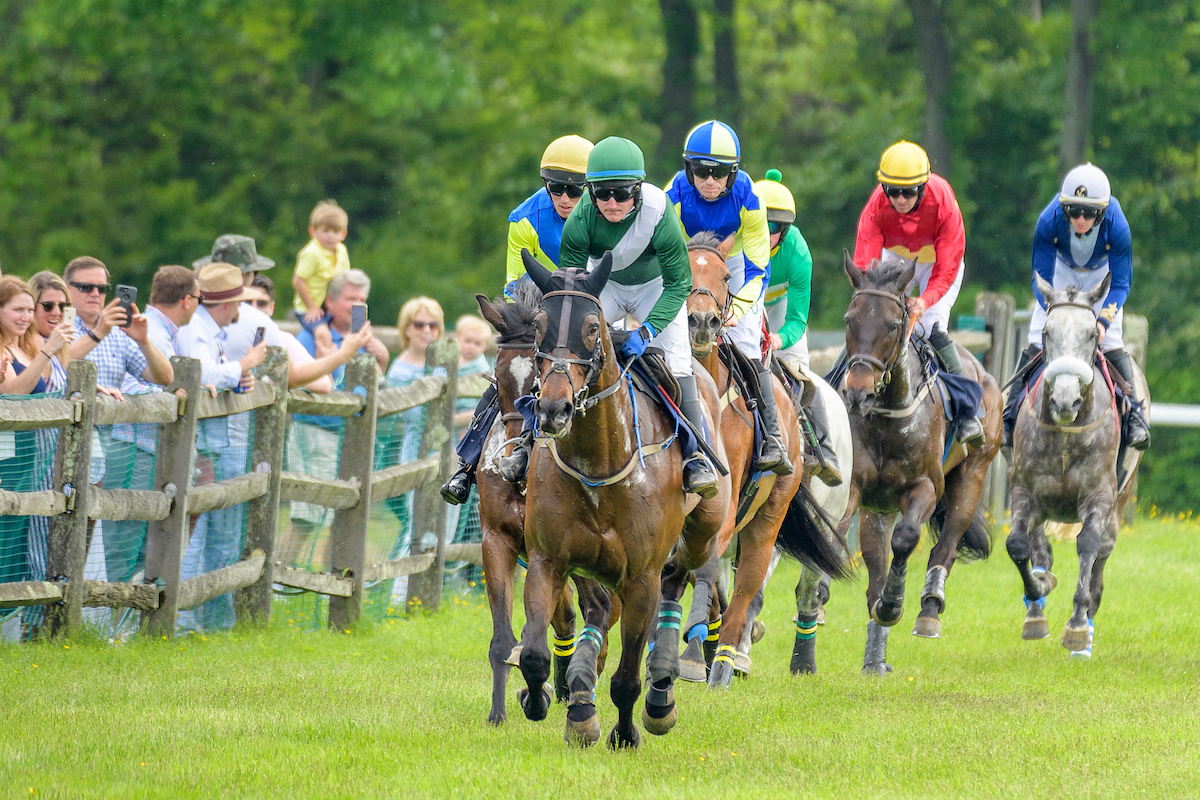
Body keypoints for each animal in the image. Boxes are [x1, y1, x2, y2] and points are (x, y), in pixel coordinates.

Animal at [470, 281, 619, 724]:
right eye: (499, 377)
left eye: (536, 377)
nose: (513, 453)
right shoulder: (501, 542)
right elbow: (504, 638)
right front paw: (498, 714)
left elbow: (594, 610)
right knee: (571, 617)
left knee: (600, 611)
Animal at [516, 251, 729, 753]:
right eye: (538, 326)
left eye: (593, 328)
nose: (553, 409)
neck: (599, 461)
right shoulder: (547, 559)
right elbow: (534, 653)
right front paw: (542, 702)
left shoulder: (640, 576)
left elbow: (628, 677)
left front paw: (627, 732)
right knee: (601, 606)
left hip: (703, 531)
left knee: (679, 578)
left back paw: (663, 691)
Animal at [686, 232, 854, 690]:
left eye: (725, 276)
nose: (702, 322)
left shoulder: (724, 507)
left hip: (775, 512)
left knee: (756, 584)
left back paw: (731, 660)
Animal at [835, 256, 1003, 676]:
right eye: (849, 319)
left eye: (894, 324)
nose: (858, 392)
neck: (888, 417)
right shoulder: (859, 488)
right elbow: (846, 534)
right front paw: (881, 605)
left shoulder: (926, 486)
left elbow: (908, 537)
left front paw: (895, 603)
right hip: (878, 508)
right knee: (876, 557)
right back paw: (875, 648)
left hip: (973, 474)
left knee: (947, 543)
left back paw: (929, 610)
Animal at [1003, 272, 1142, 662]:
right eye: (1047, 332)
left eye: (1092, 334)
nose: (1066, 400)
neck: (1065, 434)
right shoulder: (1025, 492)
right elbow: (1017, 545)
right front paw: (1036, 599)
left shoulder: (1099, 495)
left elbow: (1088, 545)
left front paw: (1078, 626)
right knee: (1038, 546)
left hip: (1119, 501)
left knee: (1101, 558)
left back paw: (1089, 623)